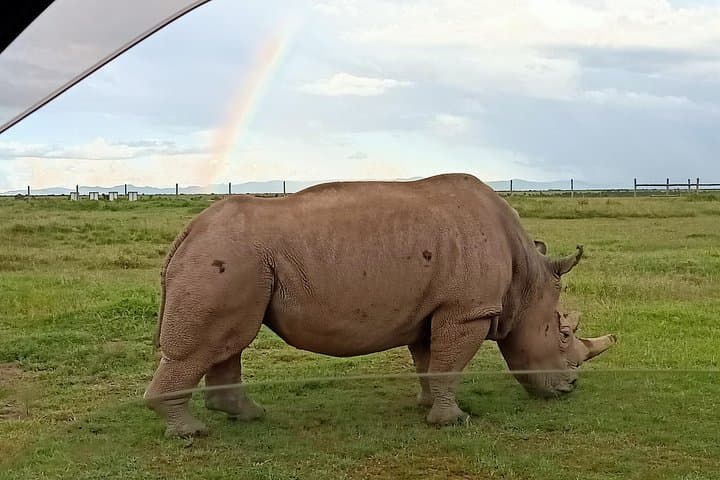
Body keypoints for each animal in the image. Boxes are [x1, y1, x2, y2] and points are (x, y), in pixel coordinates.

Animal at [144, 173, 615, 437]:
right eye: (563, 333)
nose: (571, 388)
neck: (527, 280)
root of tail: (188, 231)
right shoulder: (468, 309)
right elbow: (448, 364)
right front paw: (453, 422)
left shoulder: (436, 308)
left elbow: (429, 361)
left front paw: (428, 408)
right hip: (226, 257)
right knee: (214, 342)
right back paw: (191, 433)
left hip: (238, 261)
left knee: (230, 340)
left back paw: (248, 416)